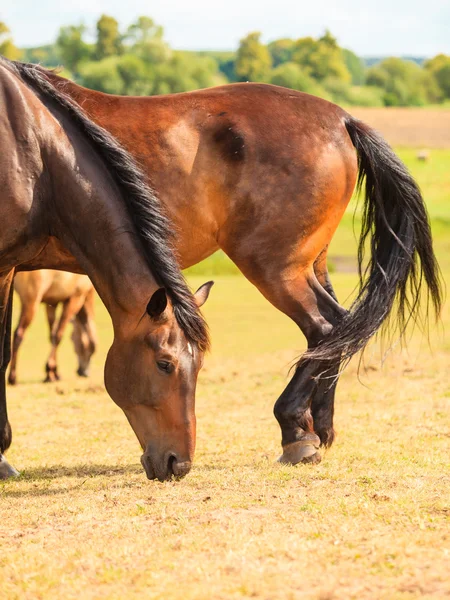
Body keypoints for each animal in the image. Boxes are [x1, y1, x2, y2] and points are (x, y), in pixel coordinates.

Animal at [26, 69, 442, 464]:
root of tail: (342, 119)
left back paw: (295, 429)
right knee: (339, 327)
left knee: (326, 328)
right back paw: (320, 427)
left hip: (277, 269)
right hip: (312, 263)